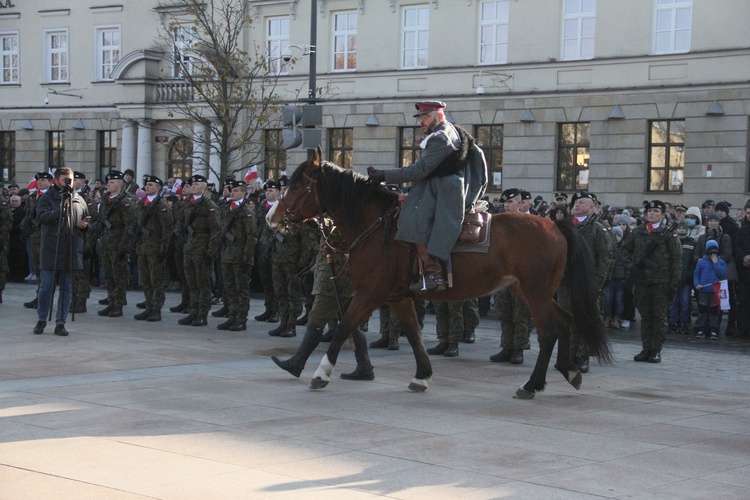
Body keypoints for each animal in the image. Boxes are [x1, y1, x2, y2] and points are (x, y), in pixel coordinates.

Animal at [270, 148, 612, 398]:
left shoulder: (371, 293)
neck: (376, 226)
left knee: (549, 331)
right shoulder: (396, 296)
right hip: (527, 290)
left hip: (535, 291)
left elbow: (343, 327)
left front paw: (320, 373)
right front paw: (422, 376)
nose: (272, 216)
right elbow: (413, 333)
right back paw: (570, 372)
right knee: (565, 322)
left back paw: (531, 384)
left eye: (298, 186)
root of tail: (555, 224)